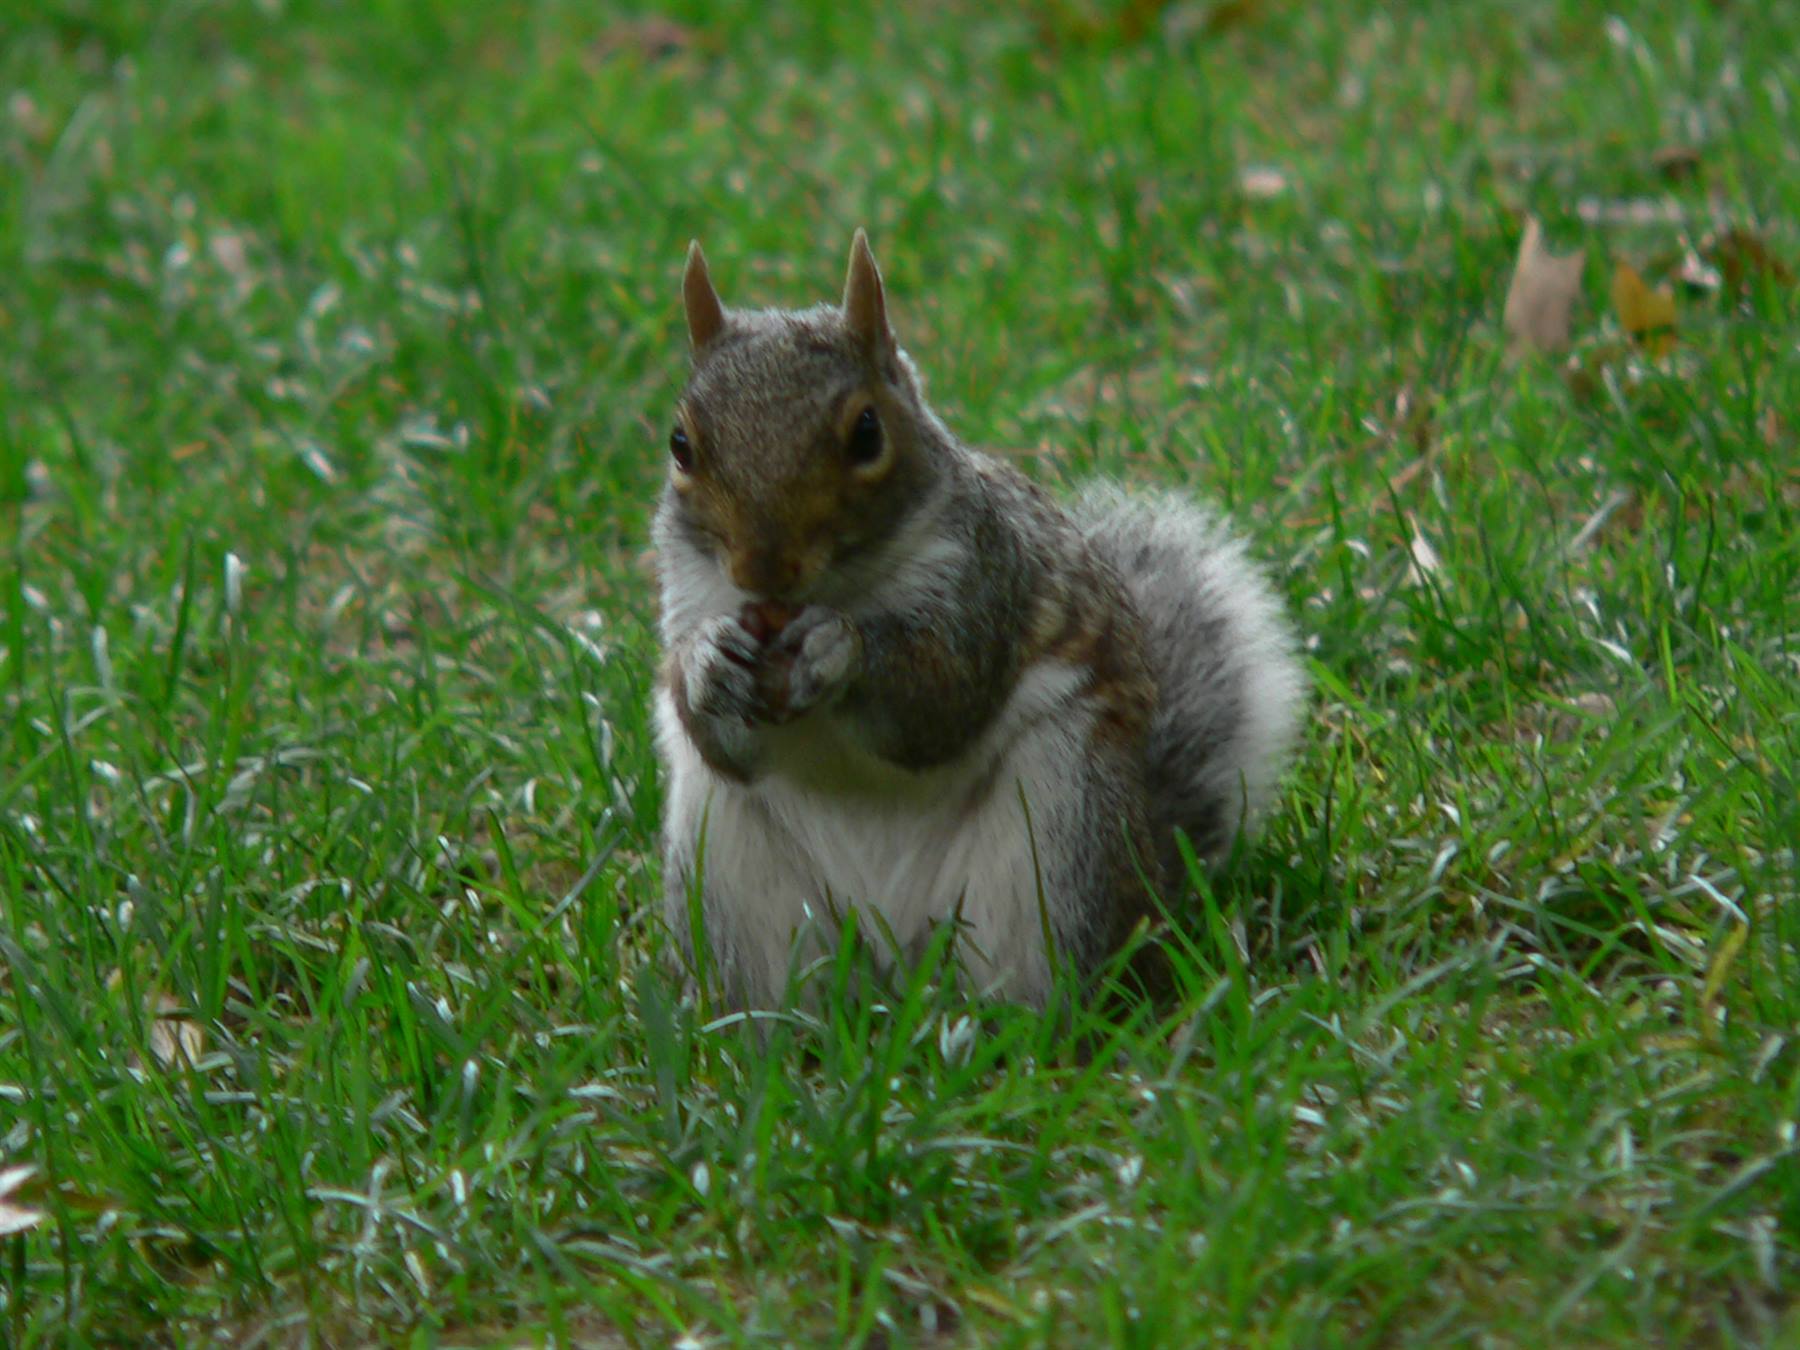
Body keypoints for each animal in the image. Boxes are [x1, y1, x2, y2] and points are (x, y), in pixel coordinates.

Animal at [652, 231, 1305, 1009]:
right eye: (680, 444)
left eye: (867, 433)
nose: (761, 569)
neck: (836, 586)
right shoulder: (689, 591)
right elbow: (723, 745)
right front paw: (706, 663)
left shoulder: (987, 577)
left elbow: (941, 699)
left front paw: (838, 648)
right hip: (729, 872)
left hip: (1060, 834)